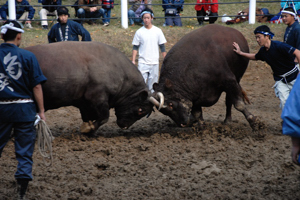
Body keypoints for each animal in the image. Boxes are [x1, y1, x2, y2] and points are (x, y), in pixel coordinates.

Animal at [25, 41, 162, 134]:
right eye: (140, 110)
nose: (124, 126)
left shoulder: (84, 103)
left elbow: (88, 117)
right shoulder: (98, 98)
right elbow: (104, 117)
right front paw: (88, 129)